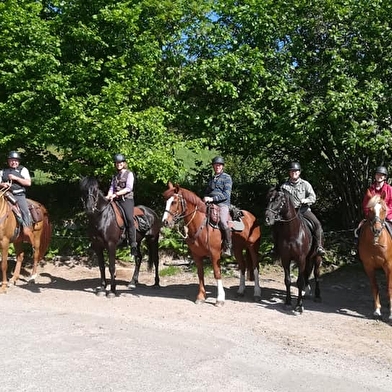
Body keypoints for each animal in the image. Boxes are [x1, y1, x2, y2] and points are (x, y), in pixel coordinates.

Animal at [264, 185, 322, 314]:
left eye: (278, 200)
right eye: (268, 198)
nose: (267, 218)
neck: (292, 233)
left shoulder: (300, 259)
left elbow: (299, 282)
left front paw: (299, 306)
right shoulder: (285, 259)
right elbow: (288, 280)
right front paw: (288, 303)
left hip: (317, 257)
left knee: (316, 275)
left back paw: (317, 296)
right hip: (307, 259)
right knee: (307, 274)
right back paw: (307, 293)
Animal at [358, 191, 392, 324]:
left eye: (384, 209)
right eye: (370, 210)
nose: (377, 230)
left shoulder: (388, 266)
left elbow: (389, 288)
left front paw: (391, 314)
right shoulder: (368, 266)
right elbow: (375, 287)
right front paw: (377, 311)